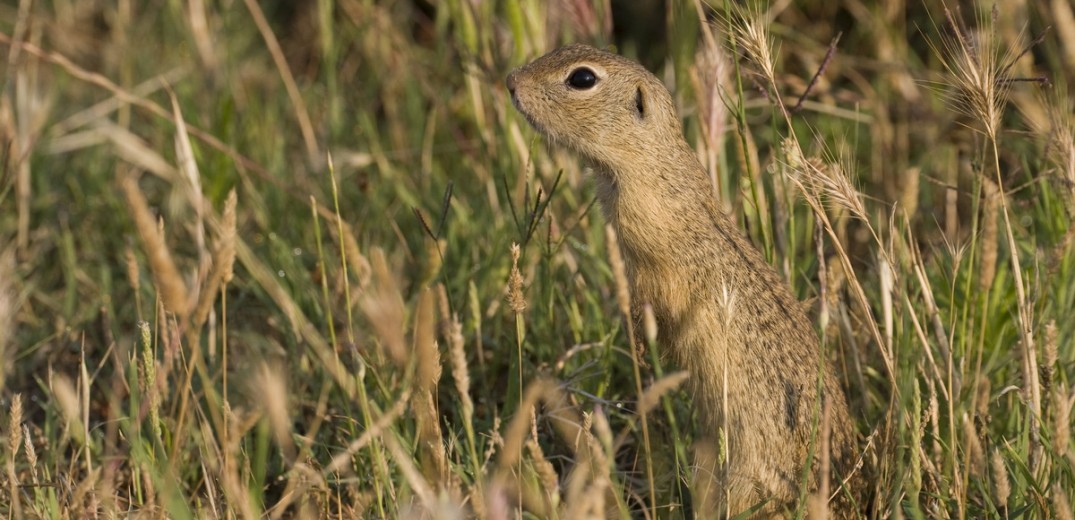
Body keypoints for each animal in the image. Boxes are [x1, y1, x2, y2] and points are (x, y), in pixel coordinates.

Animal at [505, 44, 864, 515]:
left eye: (582, 79)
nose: (511, 81)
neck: (655, 174)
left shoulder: (657, 270)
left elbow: (652, 309)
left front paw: (639, 349)